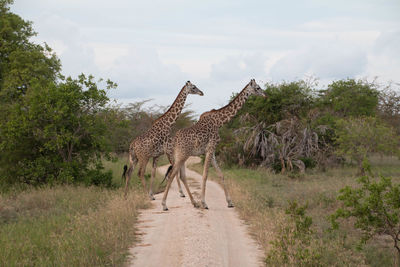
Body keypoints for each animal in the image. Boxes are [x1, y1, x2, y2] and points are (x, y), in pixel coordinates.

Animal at [161, 79, 268, 211]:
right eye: (257, 88)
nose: (265, 95)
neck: (219, 121)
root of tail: (174, 140)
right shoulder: (211, 147)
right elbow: (205, 175)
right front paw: (204, 203)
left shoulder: (211, 151)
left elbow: (221, 174)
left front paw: (230, 202)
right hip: (182, 155)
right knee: (172, 175)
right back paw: (165, 205)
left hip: (180, 156)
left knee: (180, 175)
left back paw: (192, 203)